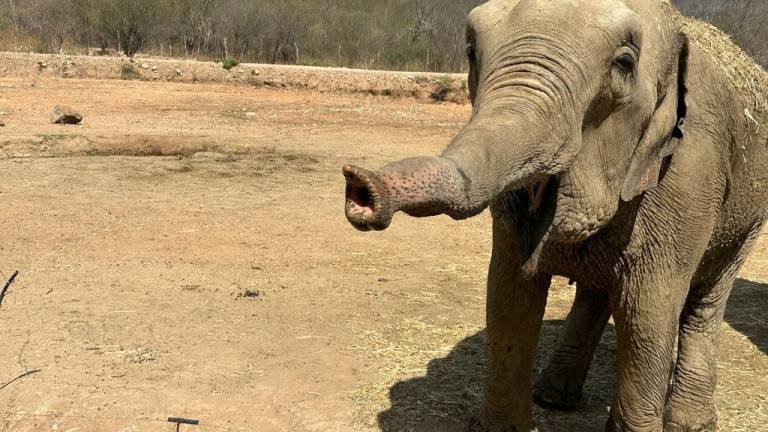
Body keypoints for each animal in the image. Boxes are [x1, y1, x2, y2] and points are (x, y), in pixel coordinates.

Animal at [344, 0, 768, 432]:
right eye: (471, 52)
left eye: (624, 63)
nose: (359, 185)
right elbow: (509, 297)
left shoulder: (688, 173)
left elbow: (646, 313)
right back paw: (553, 396)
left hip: (749, 219)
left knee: (706, 300)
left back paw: (690, 423)